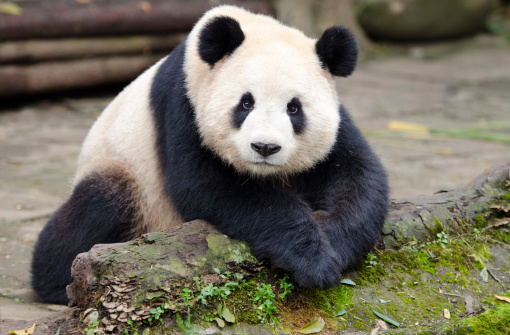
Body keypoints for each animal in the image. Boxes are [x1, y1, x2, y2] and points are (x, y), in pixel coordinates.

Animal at [30, 5, 386, 306]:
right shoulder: (183, 103)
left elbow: (358, 173)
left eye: (294, 108)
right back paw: (55, 281)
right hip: (127, 176)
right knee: (97, 206)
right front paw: (313, 259)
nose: (265, 148)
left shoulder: (338, 122)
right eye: (246, 103)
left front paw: (334, 241)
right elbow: (207, 185)